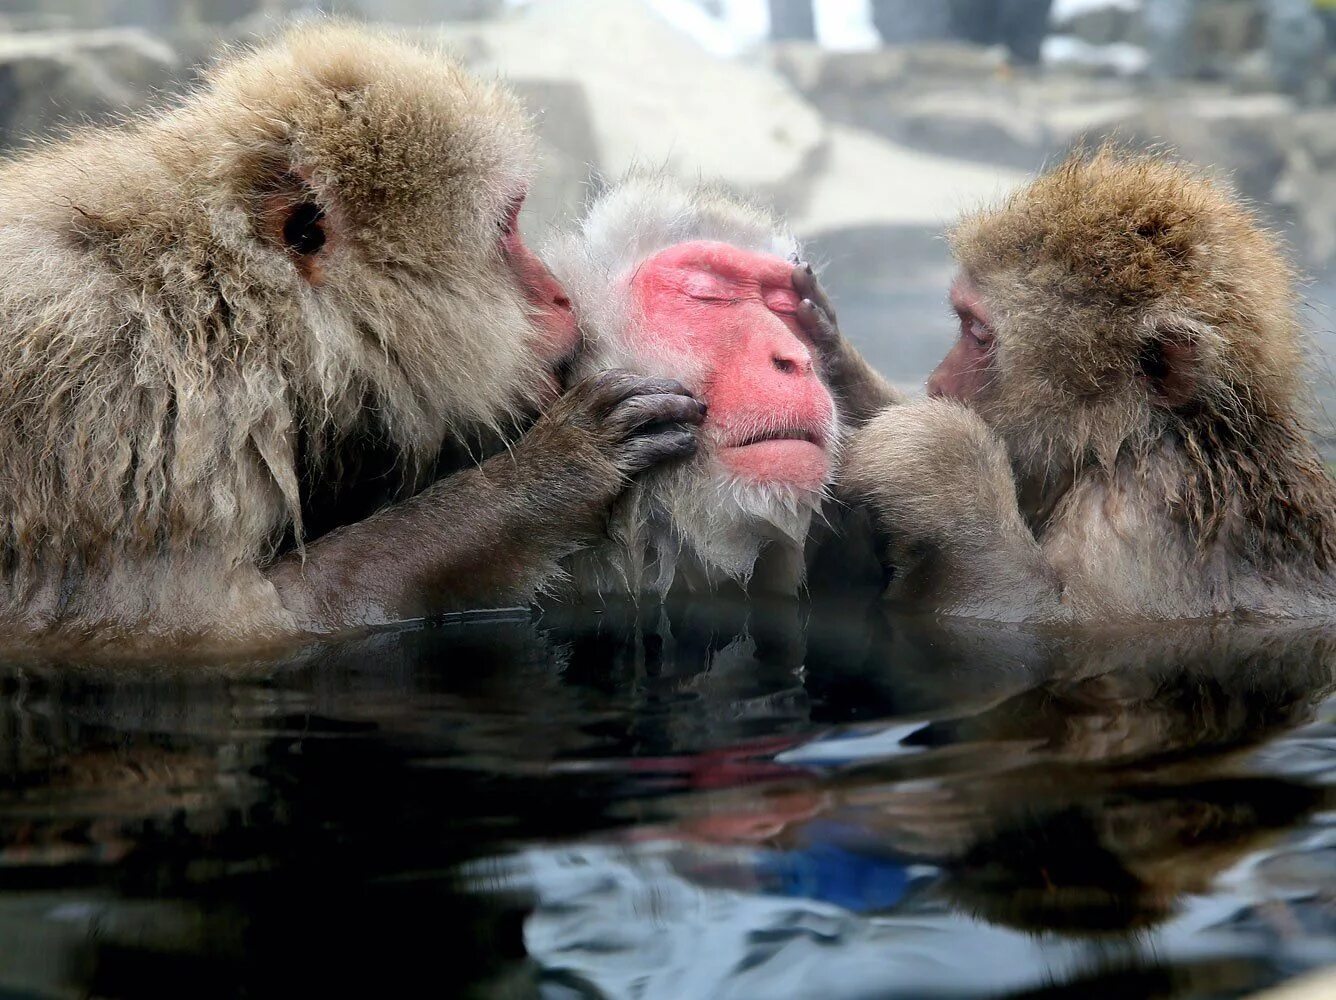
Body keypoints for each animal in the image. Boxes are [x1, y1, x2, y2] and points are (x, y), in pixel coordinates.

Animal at [0, 25, 705, 654]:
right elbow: (210, 626)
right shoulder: (126, 430)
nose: (561, 296)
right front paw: (544, 479)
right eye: (507, 227)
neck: (226, 301)